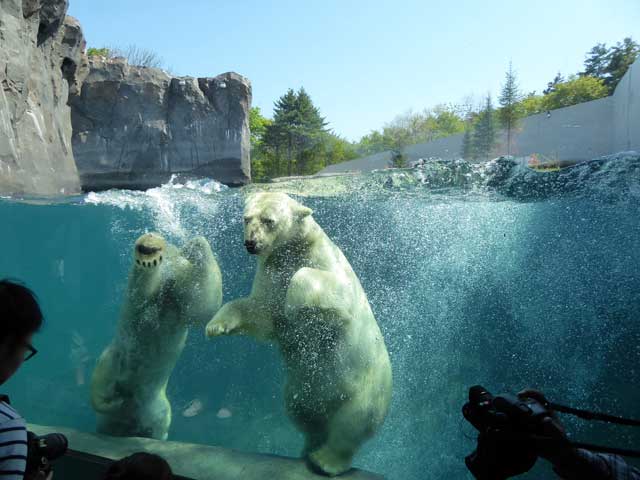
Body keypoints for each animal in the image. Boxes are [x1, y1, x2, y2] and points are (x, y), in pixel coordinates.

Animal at [91, 232, 222, 438]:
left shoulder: (179, 301)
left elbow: (202, 306)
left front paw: (196, 245)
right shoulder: (143, 298)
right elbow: (143, 292)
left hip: (158, 405)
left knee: (159, 423)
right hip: (115, 356)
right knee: (100, 384)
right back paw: (114, 403)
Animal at [208, 192, 392, 476]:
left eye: (269, 220)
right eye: (246, 218)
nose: (250, 243)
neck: (294, 250)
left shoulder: (329, 269)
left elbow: (319, 286)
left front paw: (294, 302)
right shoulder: (271, 273)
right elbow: (262, 313)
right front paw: (216, 326)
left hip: (367, 390)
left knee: (352, 423)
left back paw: (325, 460)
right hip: (299, 392)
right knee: (305, 417)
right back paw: (309, 448)